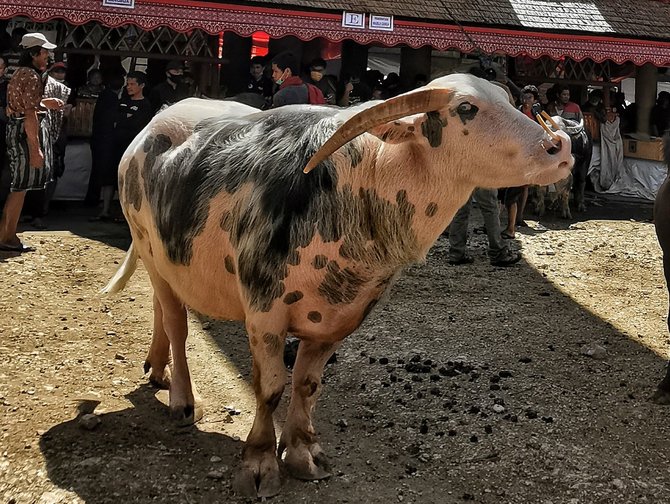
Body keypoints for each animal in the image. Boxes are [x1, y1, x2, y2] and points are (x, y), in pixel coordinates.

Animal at [102, 74, 576, 496]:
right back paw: (182, 399)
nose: (560, 147)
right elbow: (270, 388)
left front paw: (303, 455)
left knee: (162, 311)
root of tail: (149, 131)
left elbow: (307, 386)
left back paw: (157, 367)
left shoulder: (338, 319)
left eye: (508, 100)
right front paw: (259, 464)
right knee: (178, 324)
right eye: (466, 108)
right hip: (153, 255)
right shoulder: (264, 312)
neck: (354, 191)